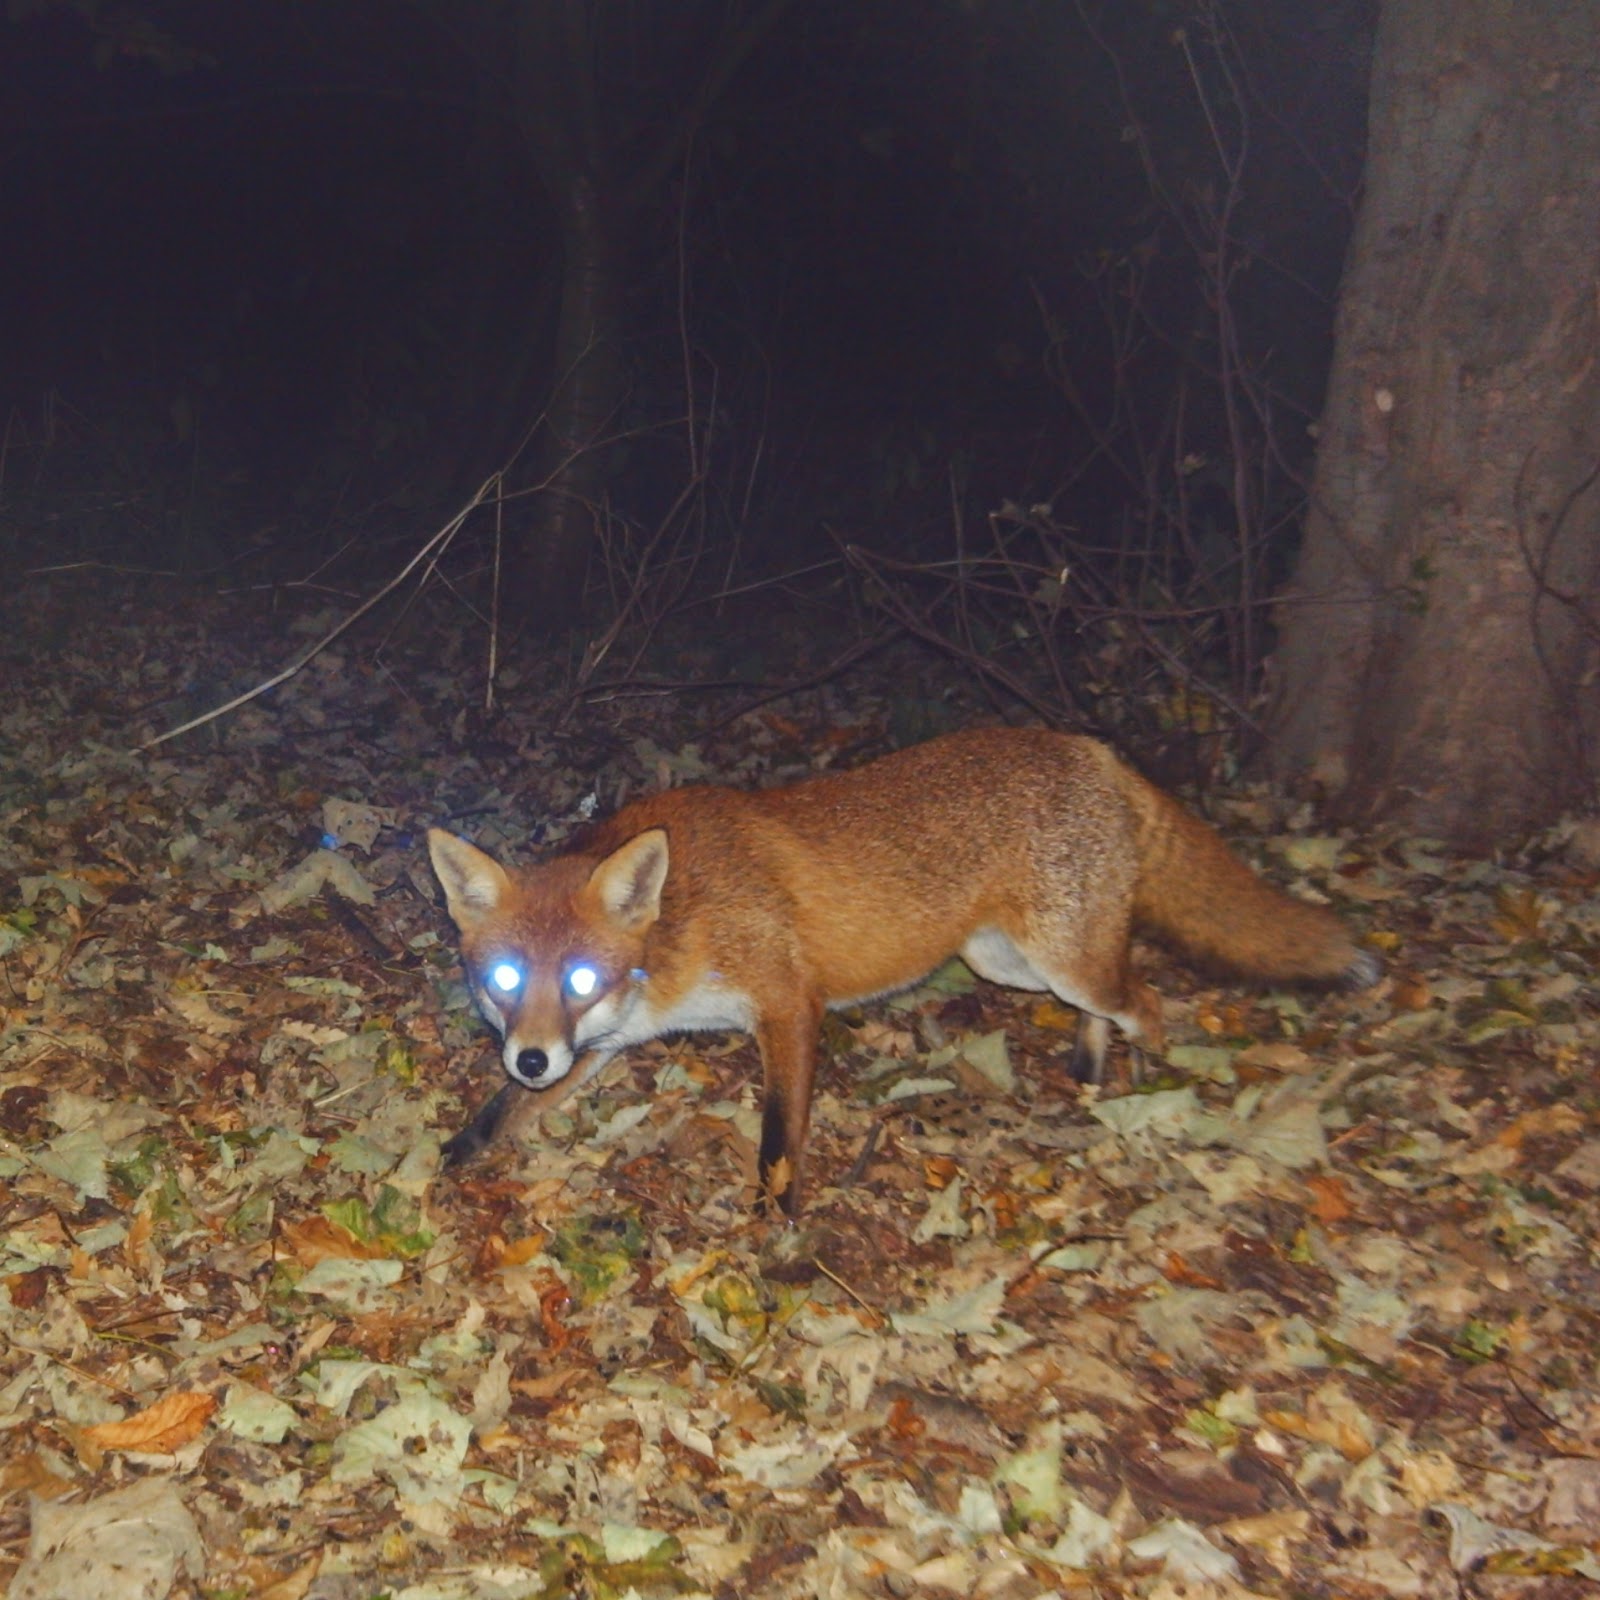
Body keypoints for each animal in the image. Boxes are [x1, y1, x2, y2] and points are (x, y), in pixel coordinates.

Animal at [428, 726, 1379, 1215]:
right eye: (505, 980)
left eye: (581, 979)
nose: (531, 1053)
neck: (680, 925)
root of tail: (1087, 745)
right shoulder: (610, 1041)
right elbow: (507, 1110)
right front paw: (459, 1151)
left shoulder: (789, 1002)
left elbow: (780, 1139)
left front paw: (778, 1223)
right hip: (1008, 961)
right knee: (1117, 997)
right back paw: (1090, 1066)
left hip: (1064, 962)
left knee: (1147, 997)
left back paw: (1145, 1087)